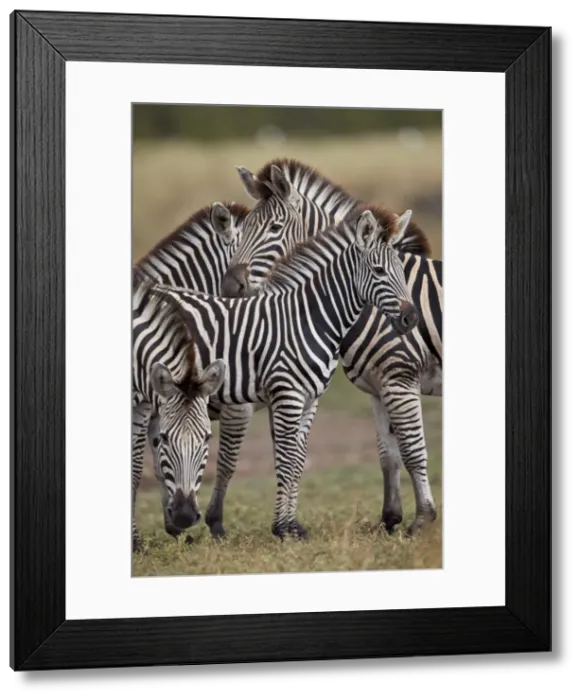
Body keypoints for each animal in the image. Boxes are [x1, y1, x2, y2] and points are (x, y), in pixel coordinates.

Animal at [132, 271, 226, 552]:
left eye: (207, 437)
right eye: (164, 437)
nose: (184, 516)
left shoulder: (143, 407)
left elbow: (138, 470)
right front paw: (134, 543)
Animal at [144, 206, 419, 540]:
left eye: (402, 271)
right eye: (379, 271)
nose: (410, 319)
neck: (307, 319)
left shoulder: (308, 400)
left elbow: (296, 461)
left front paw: (291, 525)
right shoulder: (283, 396)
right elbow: (281, 460)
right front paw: (281, 529)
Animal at [221, 158, 441, 536]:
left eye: (275, 227)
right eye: (245, 226)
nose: (230, 286)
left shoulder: (399, 378)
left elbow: (413, 450)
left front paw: (422, 520)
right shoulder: (378, 386)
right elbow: (388, 455)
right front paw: (390, 520)